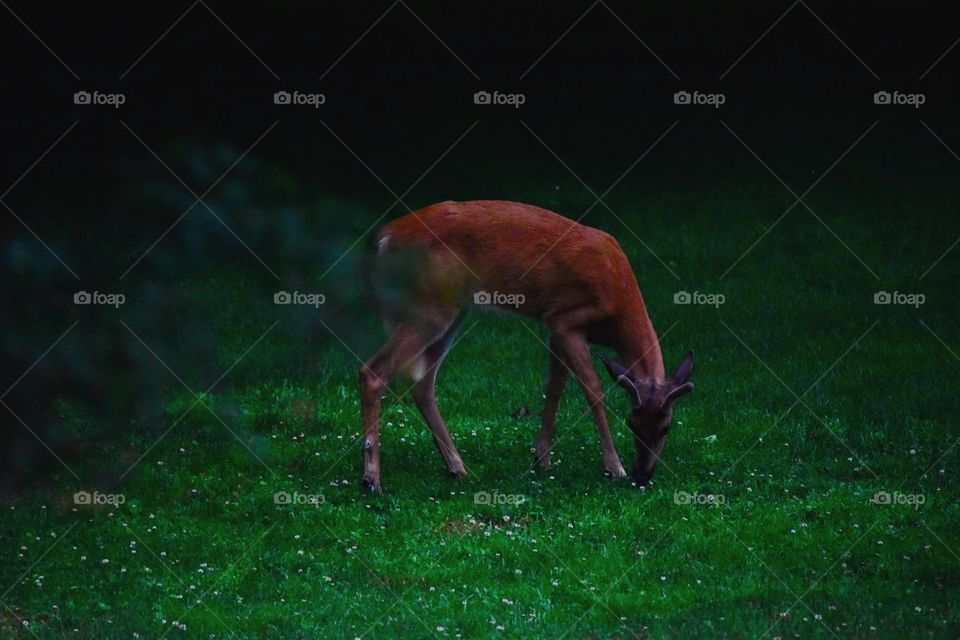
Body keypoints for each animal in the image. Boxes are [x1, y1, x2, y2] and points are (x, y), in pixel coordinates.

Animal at [359, 200, 694, 494]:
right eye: (631, 423)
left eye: (666, 427)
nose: (642, 475)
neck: (617, 300)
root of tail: (384, 238)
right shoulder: (567, 320)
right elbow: (594, 390)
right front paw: (614, 467)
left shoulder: (553, 326)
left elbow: (555, 388)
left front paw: (541, 460)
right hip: (428, 307)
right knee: (373, 371)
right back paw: (372, 481)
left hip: (451, 311)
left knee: (422, 380)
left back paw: (457, 468)